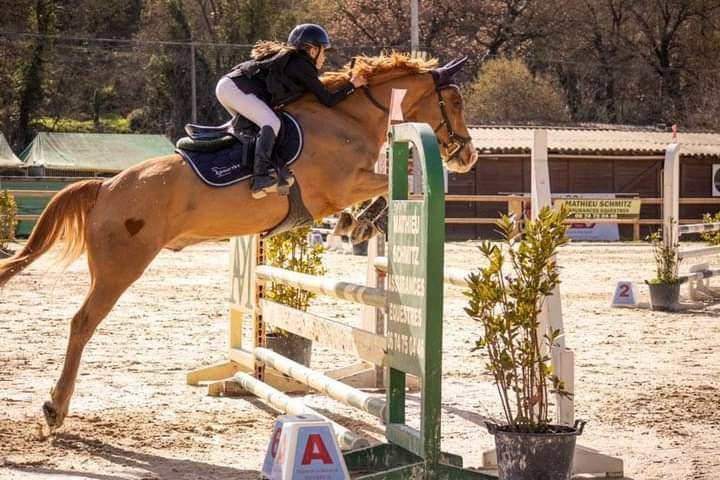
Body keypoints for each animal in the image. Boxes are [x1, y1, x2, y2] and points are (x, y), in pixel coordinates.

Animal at [0, 53, 478, 431]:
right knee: (82, 323)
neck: (349, 117)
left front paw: (356, 226)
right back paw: (54, 408)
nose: (468, 155)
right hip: (120, 269)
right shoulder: (340, 186)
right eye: (454, 102)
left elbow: (389, 188)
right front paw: (357, 224)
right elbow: (392, 184)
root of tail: (106, 187)